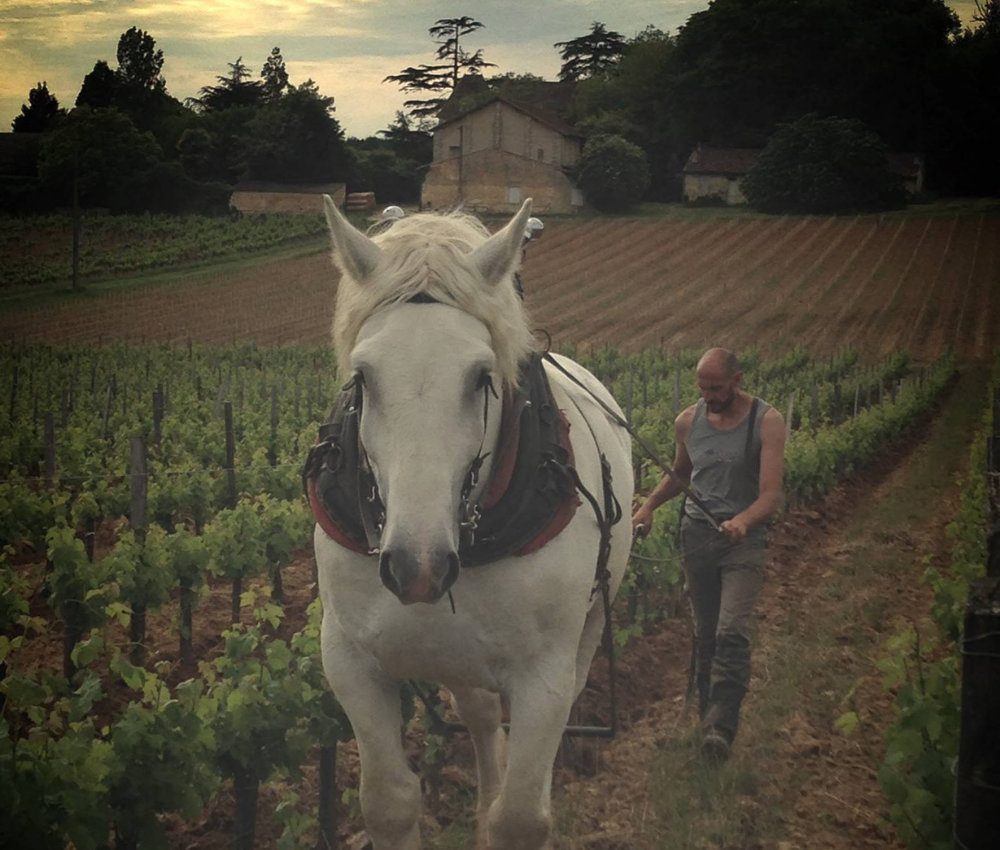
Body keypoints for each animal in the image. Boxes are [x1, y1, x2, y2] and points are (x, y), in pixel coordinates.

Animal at [316, 197, 636, 848]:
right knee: (481, 714)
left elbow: (521, 817)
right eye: (362, 378)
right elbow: (389, 802)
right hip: (456, 653)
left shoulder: (544, 677)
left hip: (588, 629)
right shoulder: (348, 660)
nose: (417, 567)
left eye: (481, 378)